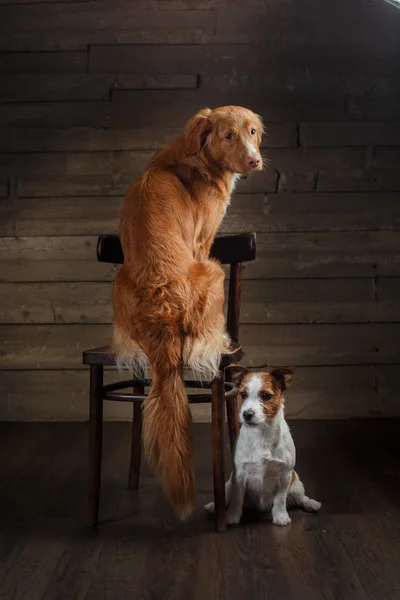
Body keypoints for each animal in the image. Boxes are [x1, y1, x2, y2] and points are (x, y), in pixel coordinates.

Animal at [111, 105, 264, 516]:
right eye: (228, 135)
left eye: (253, 132)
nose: (254, 160)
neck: (197, 158)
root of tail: (161, 311)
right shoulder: (204, 242)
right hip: (212, 270)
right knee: (204, 337)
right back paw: (221, 342)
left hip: (119, 278)